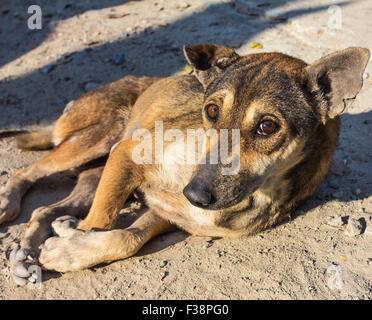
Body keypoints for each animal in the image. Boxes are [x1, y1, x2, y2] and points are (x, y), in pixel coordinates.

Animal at [1, 43, 370, 284]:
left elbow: (127, 239)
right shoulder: (127, 155)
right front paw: (71, 246)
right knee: (26, 171)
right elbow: (100, 223)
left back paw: (28, 251)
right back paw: (9, 203)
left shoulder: (169, 214)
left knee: (44, 209)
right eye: (211, 110)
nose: (195, 195)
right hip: (101, 137)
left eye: (267, 126)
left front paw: (68, 248)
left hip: (95, 176)